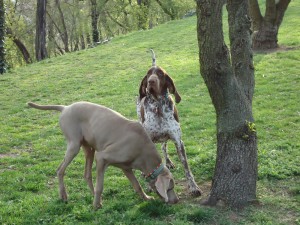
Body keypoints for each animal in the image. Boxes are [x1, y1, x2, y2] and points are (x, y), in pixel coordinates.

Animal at [137, 49, 202, 197]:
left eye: (160, 74)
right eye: (148, 74)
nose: (151, 81)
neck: (158, 105)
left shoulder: (178, 141)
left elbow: (187, 169)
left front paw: (193, 187)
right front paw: (148, 186)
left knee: (163, 147)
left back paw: (168, 161)